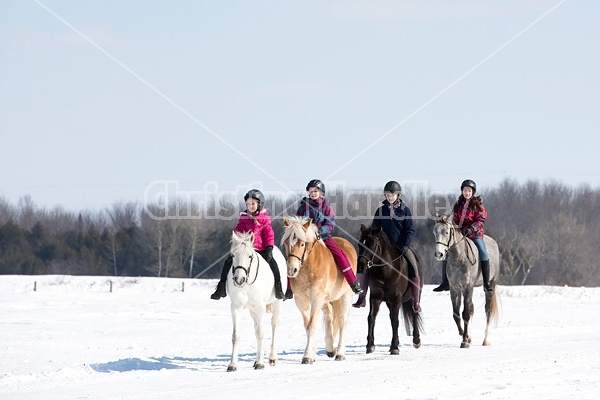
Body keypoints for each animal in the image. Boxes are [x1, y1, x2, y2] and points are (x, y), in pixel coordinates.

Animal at [227, 231, 288, 372]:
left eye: (250, 256)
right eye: (233, 255)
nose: (239, 279)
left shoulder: (260, 307)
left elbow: (260, 333)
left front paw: (260, 363)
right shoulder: (236, 307)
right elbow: (236, 336)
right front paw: (232, 364)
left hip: (276, 303)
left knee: (274, 325)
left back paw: (272, 358)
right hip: (252, 310)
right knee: (256, 326)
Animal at [282, 217, 356, 364]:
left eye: (302, 244)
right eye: (286, 243)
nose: (292, 270)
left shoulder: (316, 297)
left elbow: (311, 325)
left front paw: (307, 356)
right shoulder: (301, 300)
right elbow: (307, 325)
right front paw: (311, 353)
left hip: (345, 296)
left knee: (342, 321)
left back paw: (340, 353)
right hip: (325, 299)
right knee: (329, 315)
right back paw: (330, 348)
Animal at [358, 225, 424, 354]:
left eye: (372, 244)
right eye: (360, 243)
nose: (360, 266)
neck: (386, 271)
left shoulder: (396, 298)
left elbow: (395, 320)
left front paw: (394, 347)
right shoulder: (375, 297)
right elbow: (371, 318)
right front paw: (370, 345)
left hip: (415, 296)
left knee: (414, 313)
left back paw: (416, 340)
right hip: (388, 302)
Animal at [432, 212, 502, 346]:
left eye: (446, 232)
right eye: (434, 232)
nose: (439, 254)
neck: (459, 257)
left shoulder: (467, 287)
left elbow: (465, 313)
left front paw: (464, 341)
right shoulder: (455, 289)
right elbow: (456, 314)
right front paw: (465, 336)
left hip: (491, 284)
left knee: (488, 310)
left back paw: (486, 340)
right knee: (472, 309)